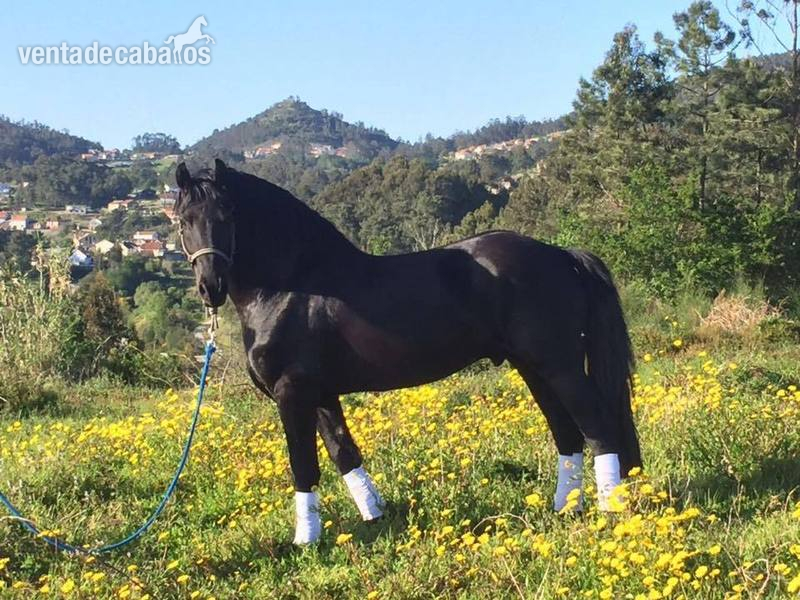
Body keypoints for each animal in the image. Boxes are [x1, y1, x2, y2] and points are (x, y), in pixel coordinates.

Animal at [174, 160, 642, 544]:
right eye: (183, 220)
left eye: (228, 215)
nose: (210, 287)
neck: (291, 287)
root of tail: (562, 255)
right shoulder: (322, 394)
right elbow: (345, 453)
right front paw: (375, 517)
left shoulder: (293, 393)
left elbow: (303, 465)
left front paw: (305, 541)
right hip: (534, 368)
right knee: (567, 433)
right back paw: (566, 508)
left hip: (560, 366)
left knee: (598, 426)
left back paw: (609, 510)